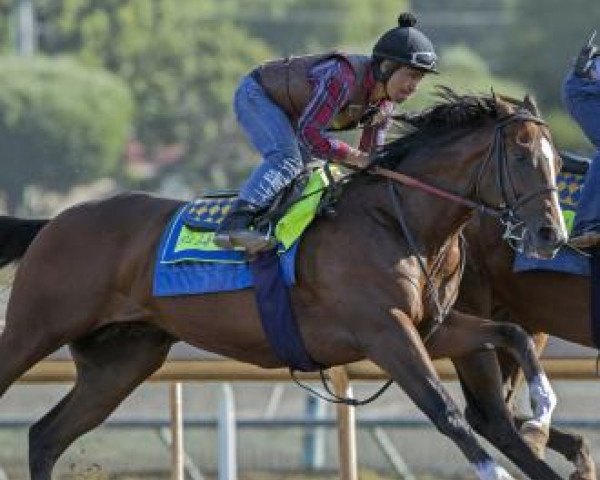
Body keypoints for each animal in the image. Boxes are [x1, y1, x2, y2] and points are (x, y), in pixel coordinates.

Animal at [0, 91, 564, 480]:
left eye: (557, 161)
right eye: (521, 157)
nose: (550, 235)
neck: (395, 222)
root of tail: (53, 222)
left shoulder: (430, 327)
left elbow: (512, 332)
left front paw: (539, 411)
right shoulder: (384, 331)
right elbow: (444, 410)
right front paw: (496, 466)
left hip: (121, 361)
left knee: (44, 437)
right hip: (34, 329)